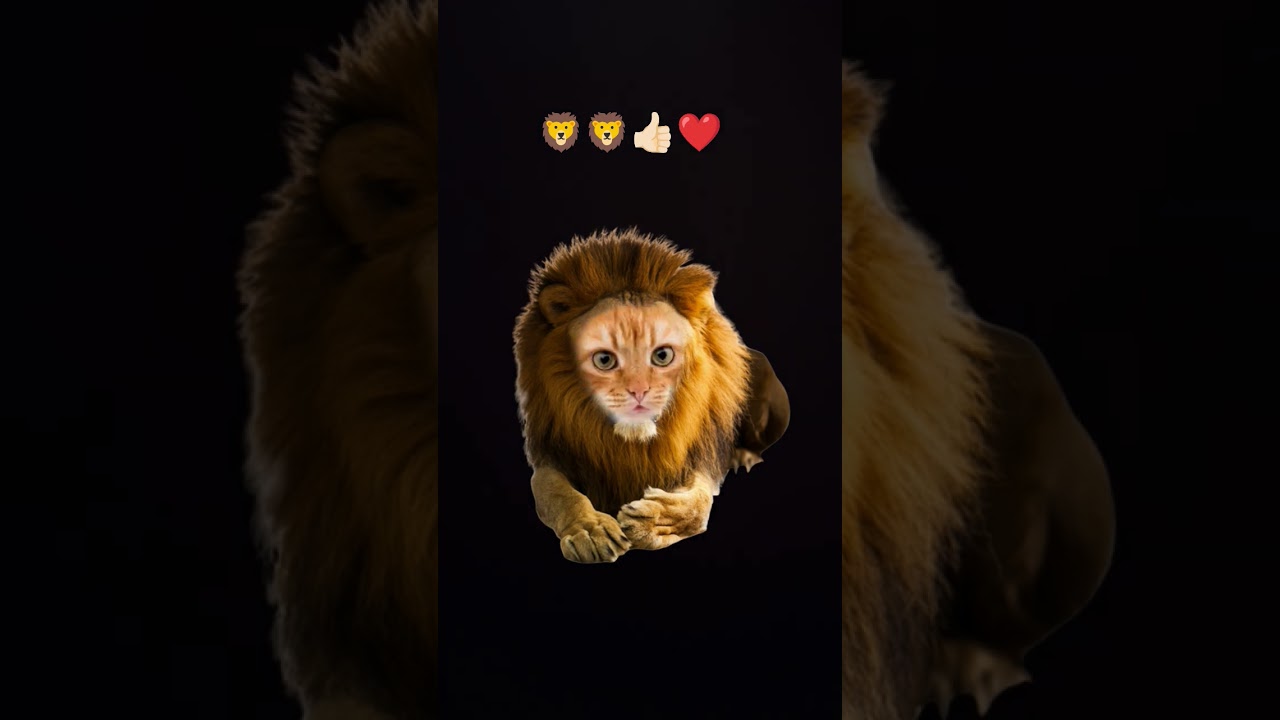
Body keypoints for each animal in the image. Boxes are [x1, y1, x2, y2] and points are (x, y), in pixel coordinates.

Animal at [513, 229, 789, 563]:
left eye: (662, 355)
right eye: (604, 360)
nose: (639, 391)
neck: (633, 443)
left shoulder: (702, 459)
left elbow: (697, 505)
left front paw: (651, 523)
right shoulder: (550, 457)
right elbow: (558, 494)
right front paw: (591, 531)